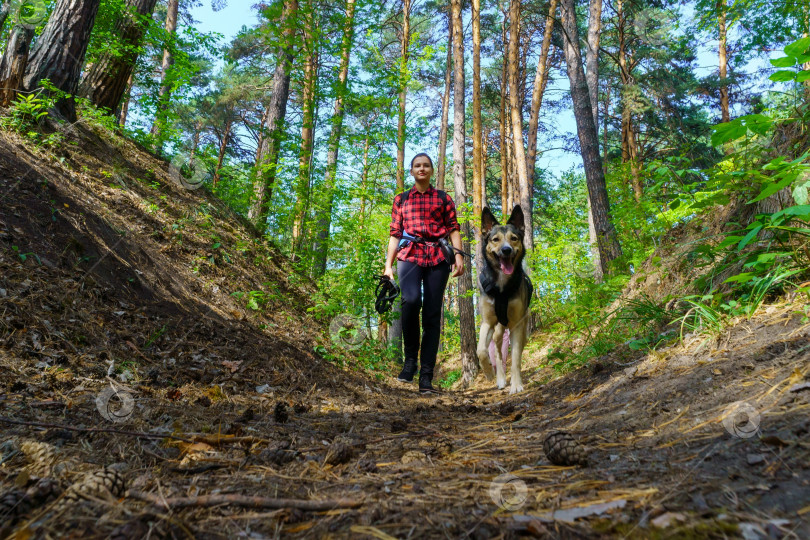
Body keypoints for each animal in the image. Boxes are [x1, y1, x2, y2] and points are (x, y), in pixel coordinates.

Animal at [474, 205, 532, 394]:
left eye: (514, 238)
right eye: (495, 239)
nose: (506, 250)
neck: (501, 286)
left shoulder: (517, 325)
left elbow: (515, 358)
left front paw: (516, 384)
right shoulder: (487, 322)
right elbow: (481, 350)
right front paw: (487, 372)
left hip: (522, 328)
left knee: (514, 351)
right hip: (498, 331)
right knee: (498, 354)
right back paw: (499, 378)